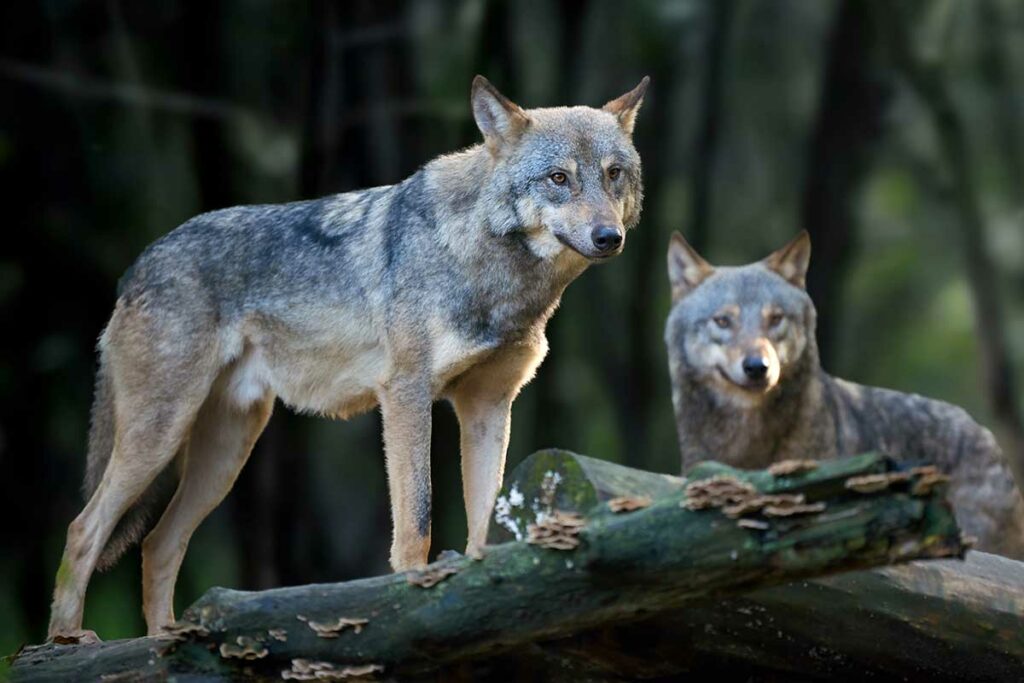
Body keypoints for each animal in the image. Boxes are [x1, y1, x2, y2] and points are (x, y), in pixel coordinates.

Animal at [48, 76, 647, 643]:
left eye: (614, 174)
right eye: (559, 179)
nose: (609, 237)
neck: (492, 269)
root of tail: (137, 267)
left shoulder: (488, 407)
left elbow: (485, 523)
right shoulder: (405, 396)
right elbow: (417, 522)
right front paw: (414, 599)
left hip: (227, 452)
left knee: (157, 544)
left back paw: (164, 641)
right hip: (162, 435)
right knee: (82, 529)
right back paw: (68, 641)